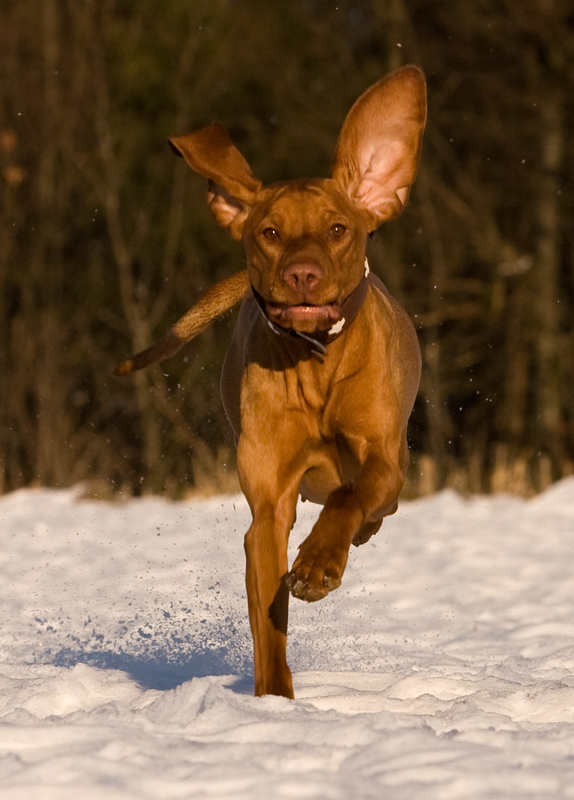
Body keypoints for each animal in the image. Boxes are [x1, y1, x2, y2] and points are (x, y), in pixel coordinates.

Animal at [116, 65, 428, 696]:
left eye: (337, 229)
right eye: (269, 232)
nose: (301, 274)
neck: (315, 364)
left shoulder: (382, 460)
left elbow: (351, 495)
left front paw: (319, 563)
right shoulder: (267, 512)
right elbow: (269, 627)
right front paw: (273, 702)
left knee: (369, 506)